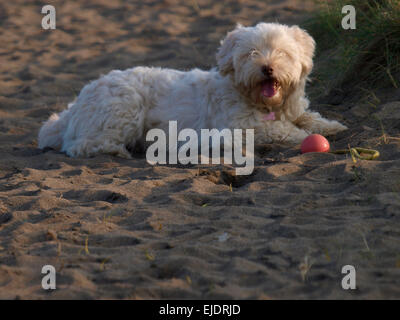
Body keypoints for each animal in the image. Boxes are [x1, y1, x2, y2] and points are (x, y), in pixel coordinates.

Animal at [39, 22, 348, 158]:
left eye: (282, 53)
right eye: (251, 53)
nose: (267, 68)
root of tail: (75, 107)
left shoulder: (291, 110)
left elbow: (307, 117)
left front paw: (332, 125)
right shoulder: (242, 125)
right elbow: (283, 130)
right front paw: (305, 136)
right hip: (125, 107)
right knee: (80, 145)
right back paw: (117, 150)